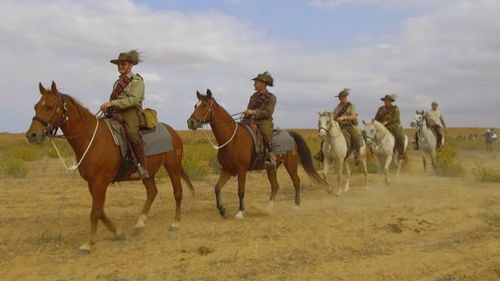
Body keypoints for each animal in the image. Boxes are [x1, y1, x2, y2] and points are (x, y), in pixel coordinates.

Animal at [24, 81, 193, 254]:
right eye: (36, 106)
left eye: (50, 107)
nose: (32, 135)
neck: (90, 139)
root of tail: (173, 132)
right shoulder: (92, 183)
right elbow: (100, 210)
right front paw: (118, 233)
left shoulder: (100, 182)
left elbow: (95, 212)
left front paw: (88, 244)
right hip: (148, 173)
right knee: (152, 192)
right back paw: (139, 224)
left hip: (173, 167)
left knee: (177, 192)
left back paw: (175, 223)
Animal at [186, 88, 326, 218]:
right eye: (195, 106)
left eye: (205, 105)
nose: (191, 122)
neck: (232, 139)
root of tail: (290, 134)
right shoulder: (226, 169)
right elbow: (217, 188)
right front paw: (222, 210)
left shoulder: (241, 170)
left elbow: (241, 191)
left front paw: (240, 212)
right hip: (271, 168)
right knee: (275, 186)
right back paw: (269, 208)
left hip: (291, 165)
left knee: (296, 182)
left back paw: (296, 205)